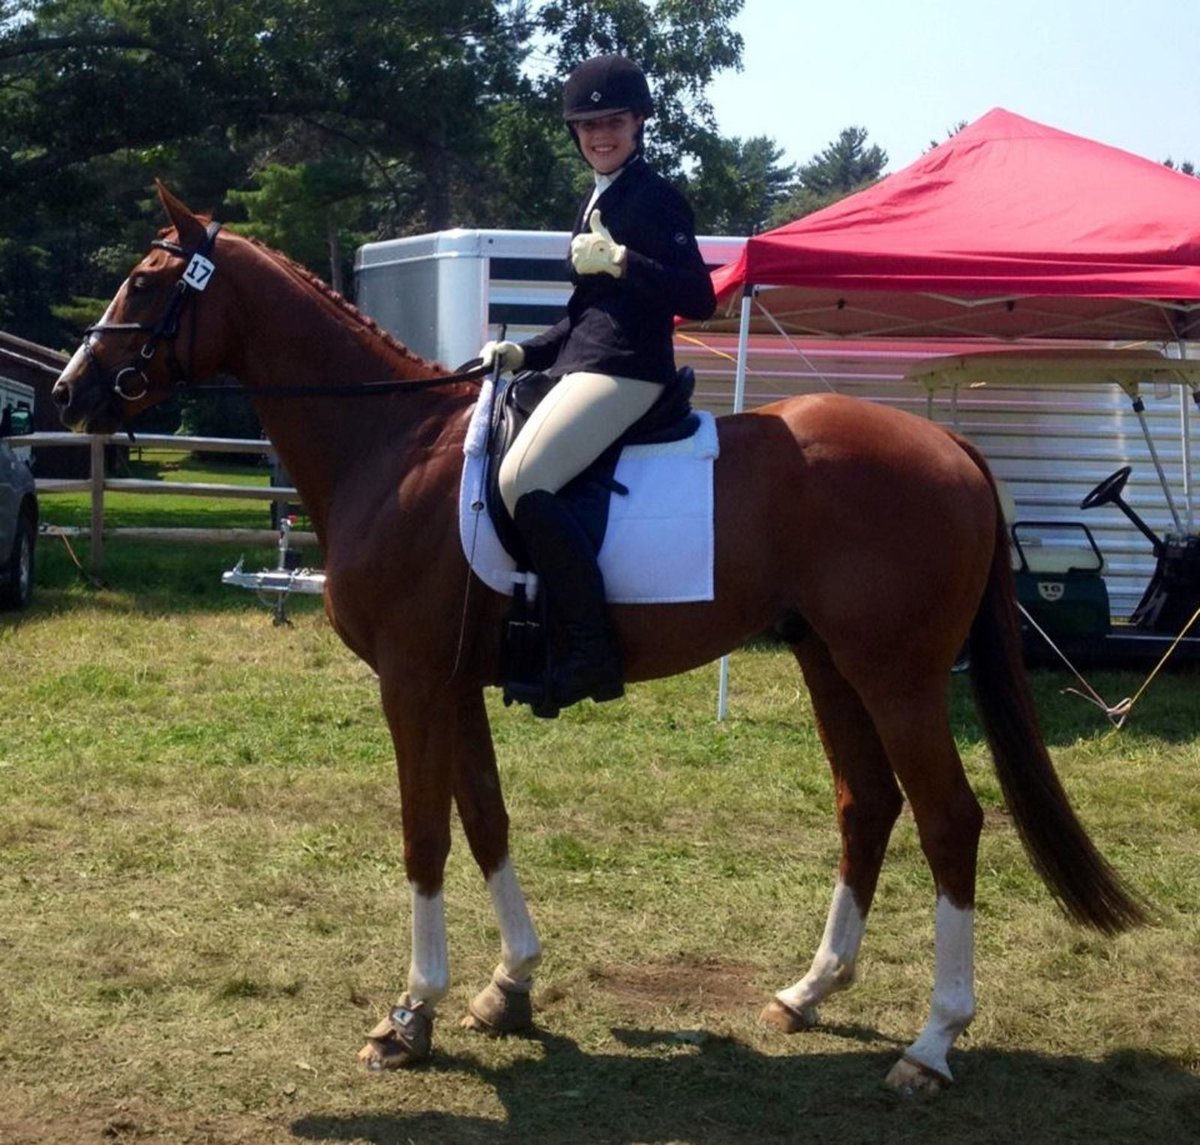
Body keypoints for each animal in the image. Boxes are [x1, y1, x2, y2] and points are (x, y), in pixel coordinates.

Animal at [54, 187, 1142, 1089]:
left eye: (147, 281)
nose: (68, 392)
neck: (392, 448)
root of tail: (950, 444)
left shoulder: (412, 681)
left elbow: (423, 834)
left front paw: (410, 1015)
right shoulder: (453, 681)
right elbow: (485, 820)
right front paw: (509, 984)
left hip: (899, 672)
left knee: (950, 818)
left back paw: (932, 1041)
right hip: (830, 660)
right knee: (865, 803)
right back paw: (807, 992)